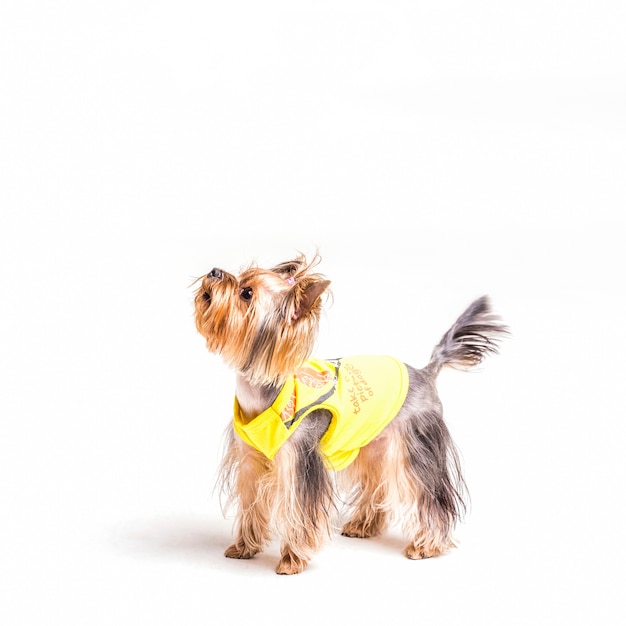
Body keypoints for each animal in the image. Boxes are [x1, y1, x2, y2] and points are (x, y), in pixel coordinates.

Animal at [193, 252, 504, 572]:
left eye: (246, 293)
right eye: (241, 276)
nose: (215, 271)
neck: (262, 392)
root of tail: (425, 373)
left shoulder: (300, 461)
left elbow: (299, 510)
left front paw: (292, 559)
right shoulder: (249, 459)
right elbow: (251, 502)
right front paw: (244, 547)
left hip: (417, 445)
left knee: (430, 495)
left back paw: (425, 546)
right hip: (373, 443)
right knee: (378, 482)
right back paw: (364, 525)